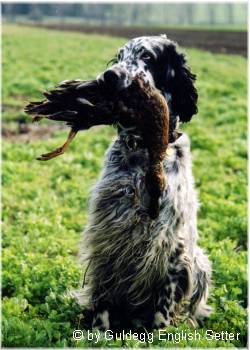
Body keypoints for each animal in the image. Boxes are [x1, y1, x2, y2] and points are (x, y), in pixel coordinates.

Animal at [75, 34, 212, 330]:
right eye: (119, 56)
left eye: (147, 56)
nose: (109, 76)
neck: (143, 149)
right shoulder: (108, 233)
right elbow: (102, 294)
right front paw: (99, 332)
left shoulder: (172, 244)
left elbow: (164, 305)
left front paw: (160, 333)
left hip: (200, 263)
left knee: (192, 306)